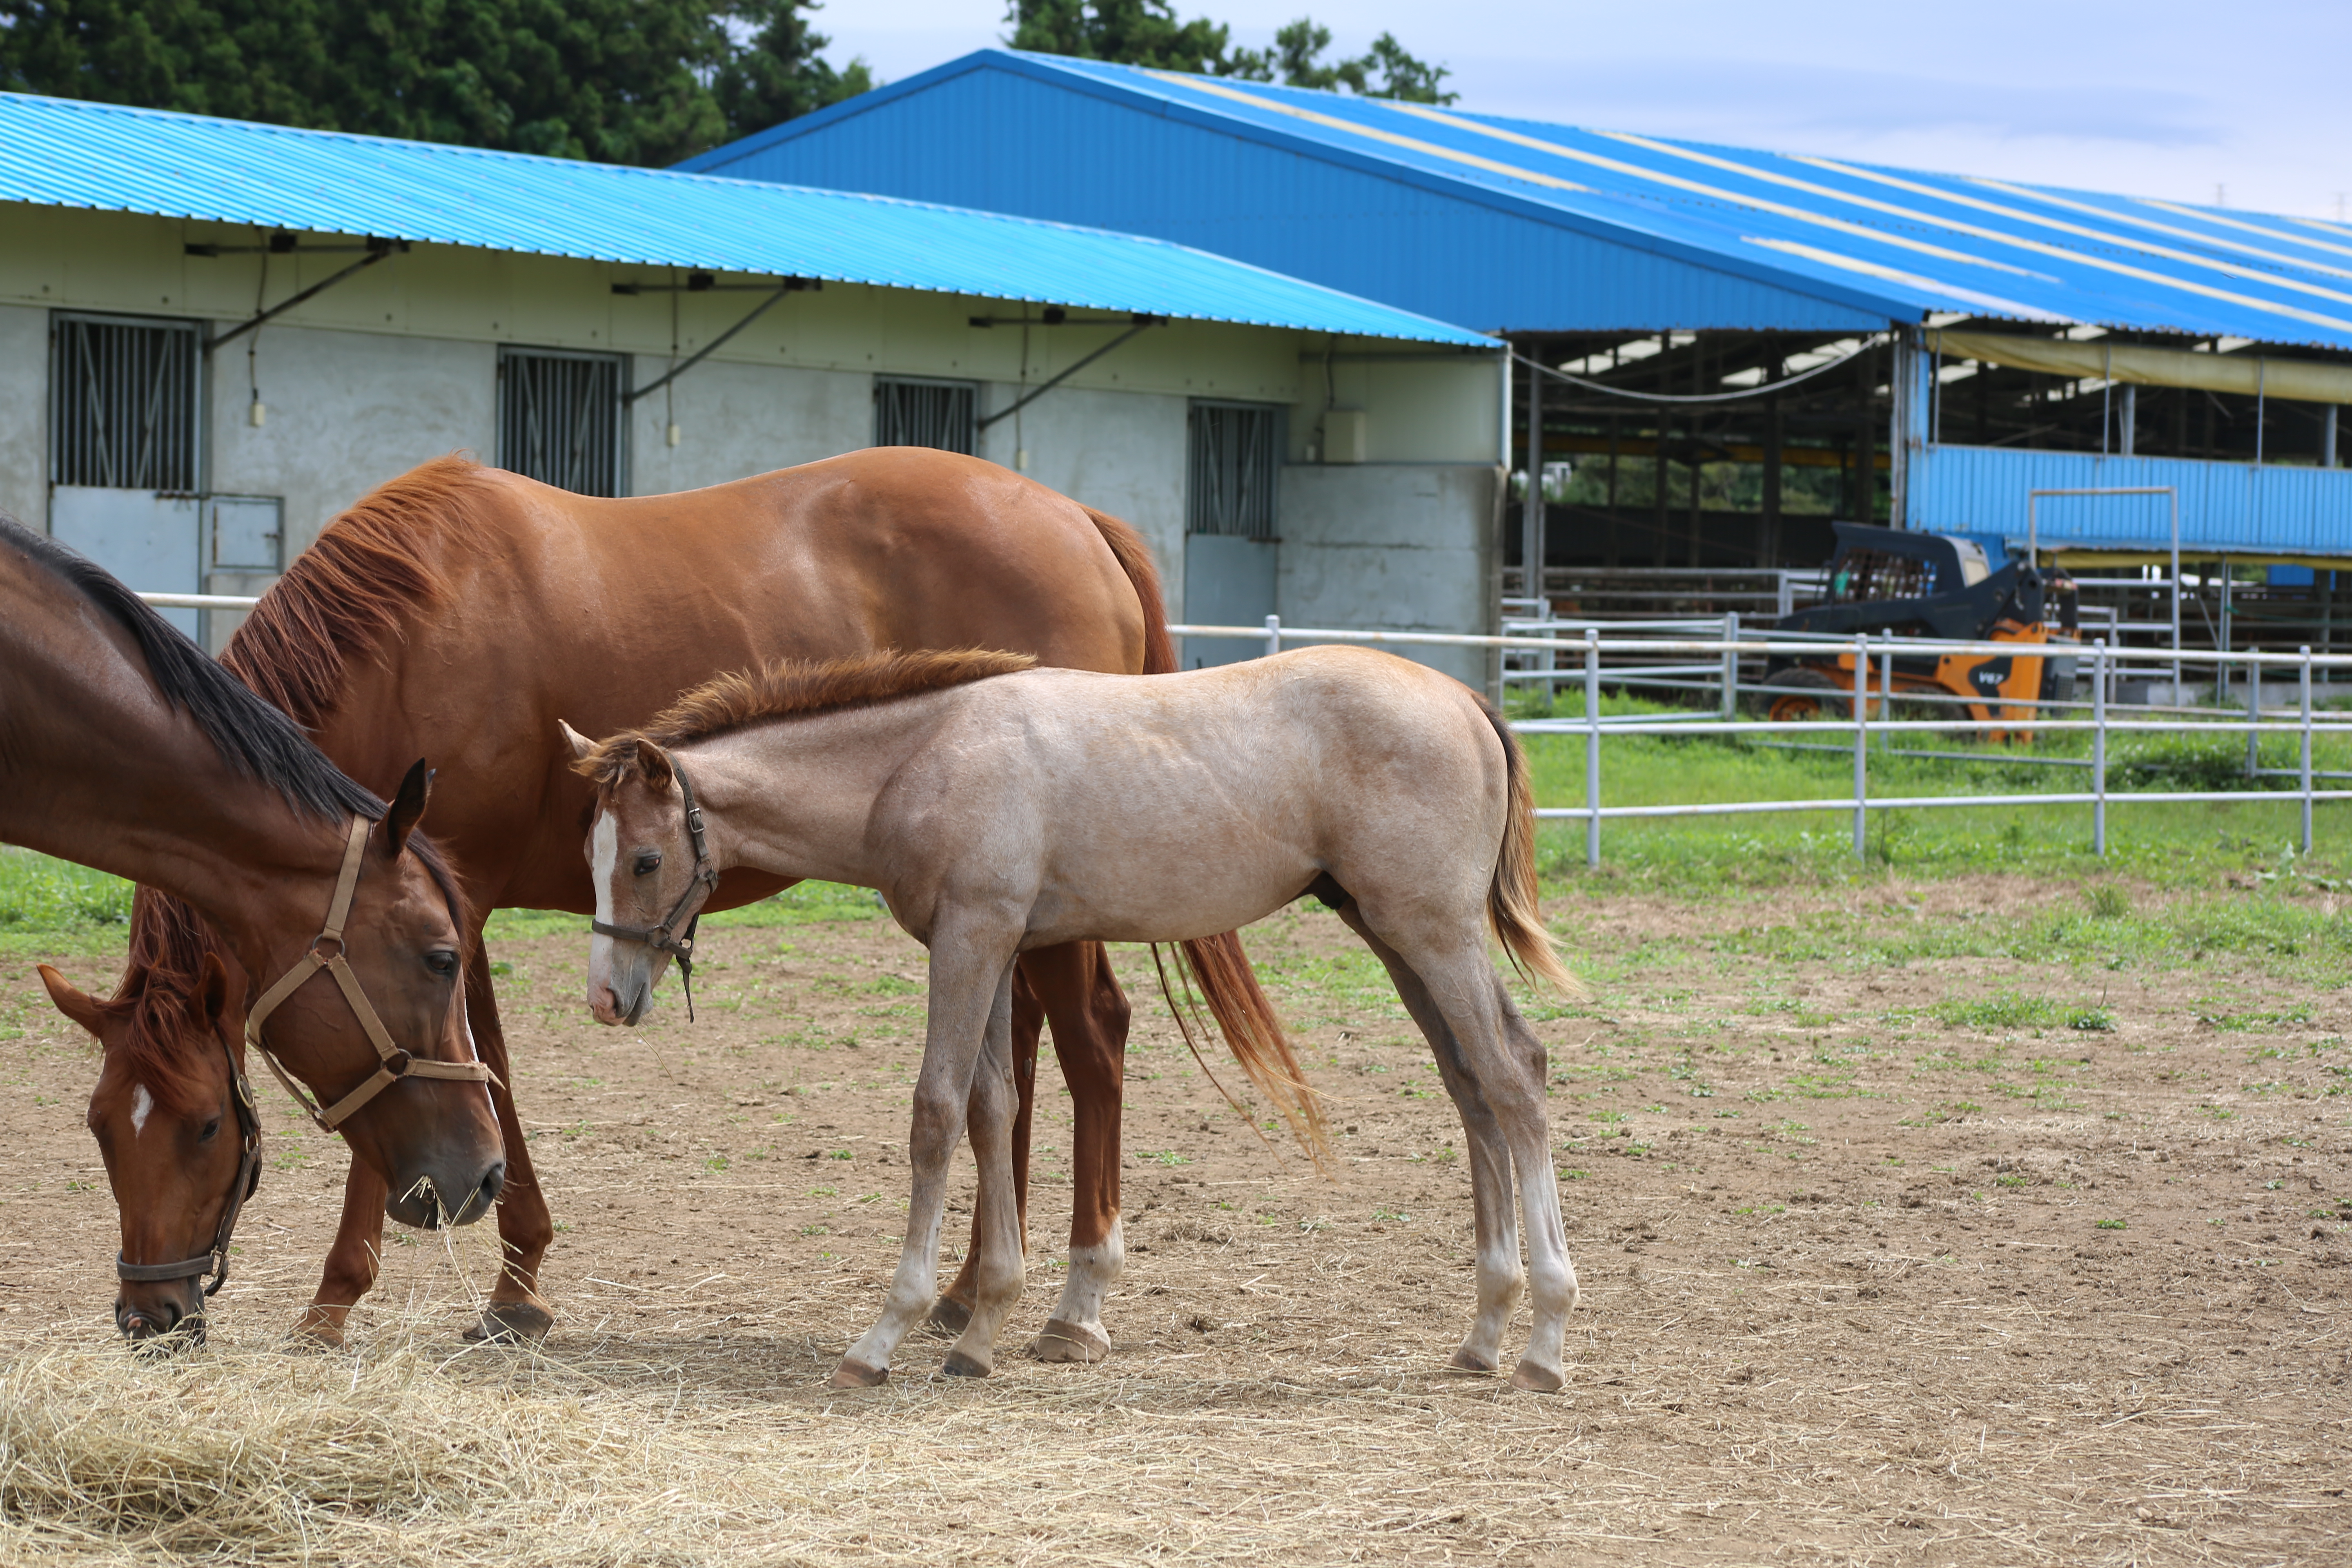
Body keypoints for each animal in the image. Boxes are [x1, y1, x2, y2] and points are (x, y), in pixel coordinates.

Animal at [112, 444, 1242, 1363]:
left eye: (202, 1130)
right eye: (100, 1129)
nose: (149, 1319)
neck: (410, 642)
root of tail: (1076, 518)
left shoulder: (440, 910)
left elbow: (434, 1069)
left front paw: (350, 1294)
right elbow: (473, 1064)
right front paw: (512, 1281)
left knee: (1094, 1039)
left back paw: (1071, 1307)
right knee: (1018, 1058)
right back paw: (970, 1293)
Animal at [578, 648, 1590, 1401]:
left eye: (644, 859)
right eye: (594, 852)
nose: (605, 999)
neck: (921, 757)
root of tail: (1464, 697)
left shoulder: (972, 938)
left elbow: (937, 1113)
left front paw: (885, 1334)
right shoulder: (989, 944)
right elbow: (994, 1109)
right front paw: (982, 1330)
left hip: (1433, 932)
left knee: (1512, 1081)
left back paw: (1544, 1342)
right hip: (1393, 933)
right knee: (1478, 1084)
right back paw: (1484, 1332)